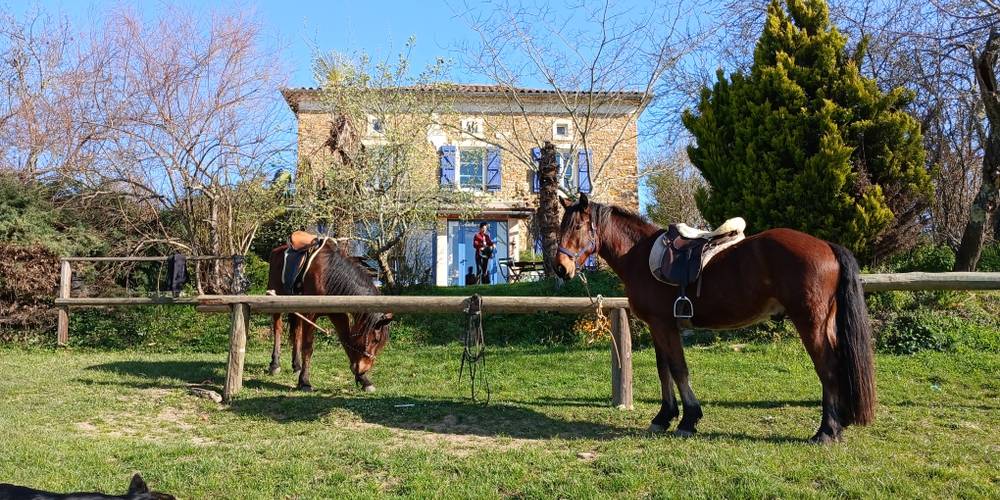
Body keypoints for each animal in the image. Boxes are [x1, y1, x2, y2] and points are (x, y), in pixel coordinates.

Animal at [266, 241, 393, 392]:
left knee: (296, 332)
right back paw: (275, 364)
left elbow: (347, 342)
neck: (328, 276)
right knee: (277, 329)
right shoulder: (311, 314)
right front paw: (305, 381)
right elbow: (308, 348)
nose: (363, 369)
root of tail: (276, 250)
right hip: (276, 302)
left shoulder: (338, 315)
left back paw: (297, 366)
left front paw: (364, 380)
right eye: (375, 340)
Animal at [556, 194, 875, 443]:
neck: (640, 256)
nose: (560, 268)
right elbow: (664, 370)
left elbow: (678, 369)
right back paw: (838, 423)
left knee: (828, 367)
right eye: (562, 226)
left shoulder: (664, 326)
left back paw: (826, 431)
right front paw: (664, 417)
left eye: (578, 226)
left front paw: (688, 420)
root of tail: (827, 246)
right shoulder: (659, 327)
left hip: (810, 322)